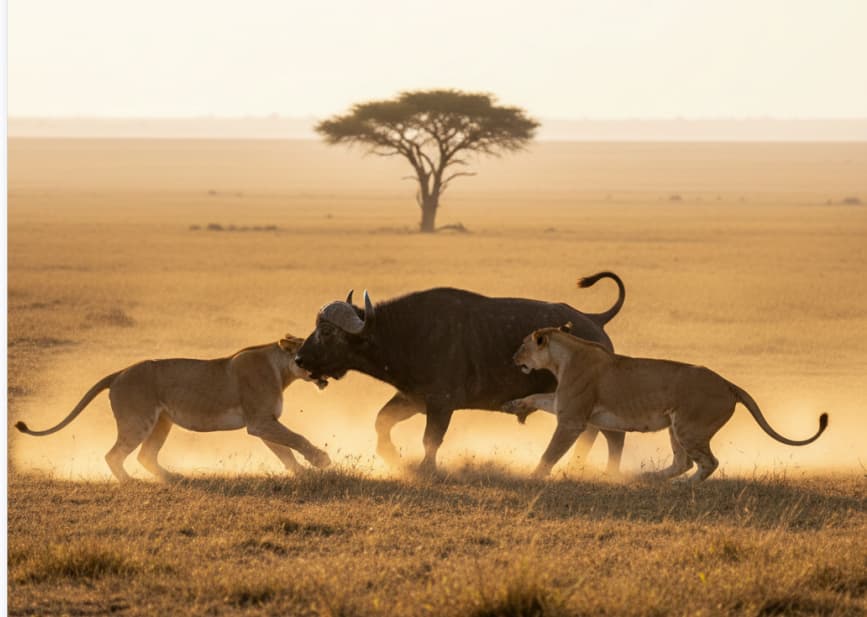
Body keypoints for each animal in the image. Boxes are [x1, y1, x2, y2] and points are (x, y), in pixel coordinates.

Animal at [15, 335, 332, 482]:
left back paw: (174, 478)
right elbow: (296, 439)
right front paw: (321, 460)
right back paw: (131, 482)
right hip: (138, 421)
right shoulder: (260, 421)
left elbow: (285, 451)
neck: (282, 369)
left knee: (145, 456)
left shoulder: (264, 422)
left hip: (162, 422)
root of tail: (118, 373)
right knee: (113, 455)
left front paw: (303, 473)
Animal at [295, 272, 626, 472]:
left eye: (326, 332)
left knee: (613, 436)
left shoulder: (441, 404)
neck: (403, 334)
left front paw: (426, 469)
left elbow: (431, 439)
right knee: (596, 433)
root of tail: (595, 320)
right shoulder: (412, 399)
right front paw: (392, 457)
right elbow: (382, 421)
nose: (299, 358)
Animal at [505, 325, 828, 482]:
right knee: (682, 462)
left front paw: (534, 476)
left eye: (522, 345)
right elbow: (538, 398)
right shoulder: (564, 402)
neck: (561, 359)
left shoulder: (572, 418)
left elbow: (551, 452)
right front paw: (515, 406)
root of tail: (728, 383)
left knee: (707, 463)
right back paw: (647, 477)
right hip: (675, 428)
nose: (513, 358)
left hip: (689, 427)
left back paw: (679, 486)